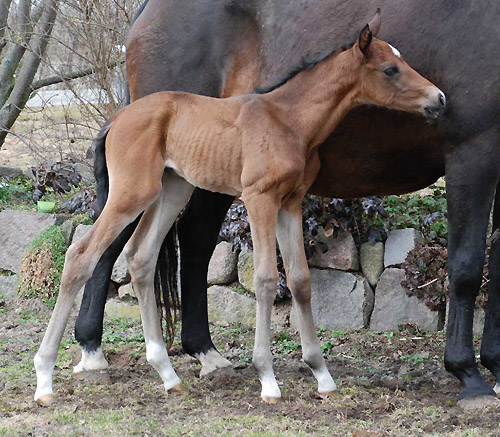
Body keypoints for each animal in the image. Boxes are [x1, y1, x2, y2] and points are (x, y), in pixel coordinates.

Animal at [34, 18, 446, 404]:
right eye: (390, 69)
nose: (439, 99)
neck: (288, 119)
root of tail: (116, 119)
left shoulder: (291, 202)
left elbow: (300, 279)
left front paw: (322, 374)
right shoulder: (259, 198)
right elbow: (265, 278)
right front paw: (267, 379)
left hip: (172, 191)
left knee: (140, 257)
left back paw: (167, 373)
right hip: (131, 193)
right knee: (81, 254)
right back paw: (45, 379)